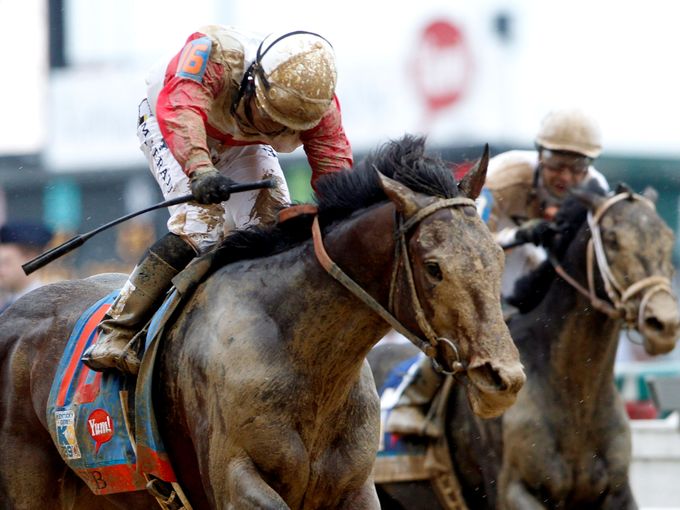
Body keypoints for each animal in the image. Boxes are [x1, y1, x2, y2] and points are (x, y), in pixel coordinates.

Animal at [0, 135, 524, 510]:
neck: (306, 359)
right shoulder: (236, 481)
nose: (504, 379)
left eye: (499, 256)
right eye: (434, 267)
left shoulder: (355, 488)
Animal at [372, 185, 680, 510]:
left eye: (667, 237)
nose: (664, 324)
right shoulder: (515, 491)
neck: (575, 397)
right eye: (612, 238)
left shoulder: (618, 493)